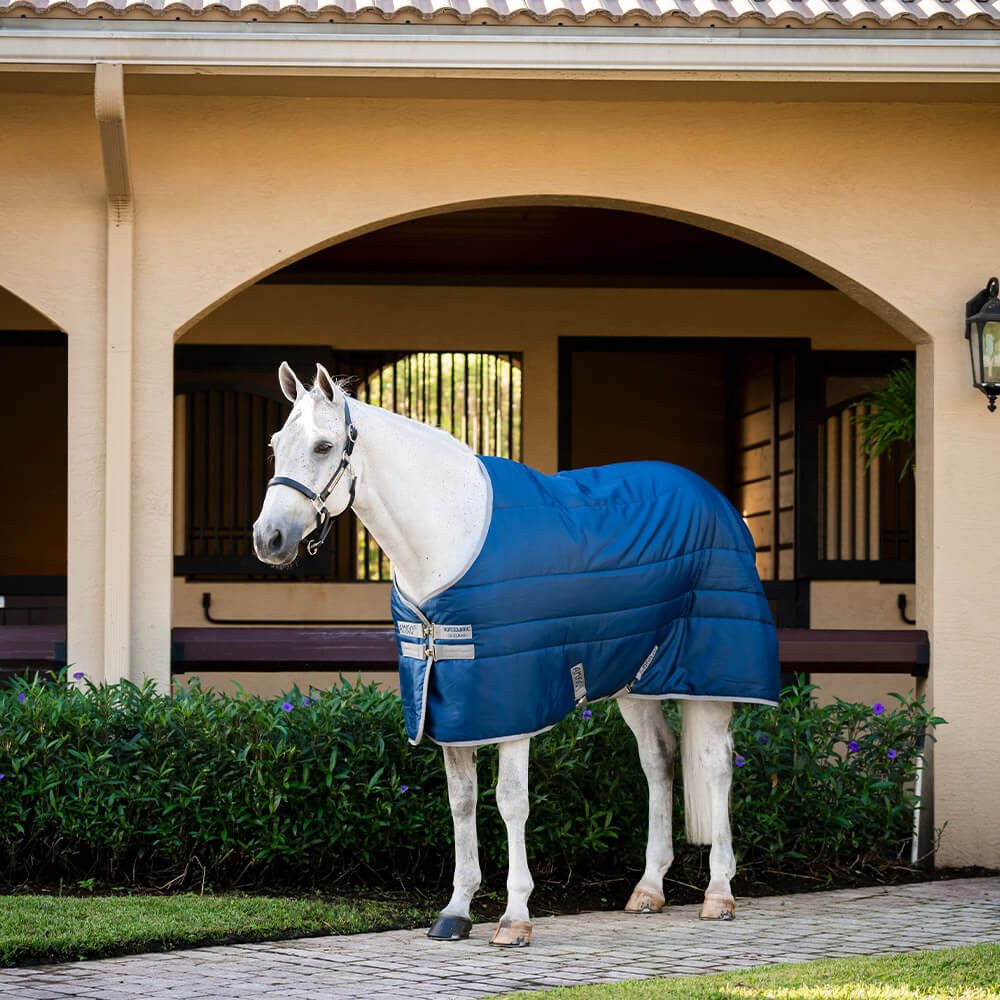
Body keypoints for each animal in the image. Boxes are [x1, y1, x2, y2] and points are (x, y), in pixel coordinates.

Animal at [253, 362, 779, 948]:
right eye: (276, 445)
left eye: (323, 446)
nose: (268, 538)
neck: (449, 535)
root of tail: (716, 499)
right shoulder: (450, 701)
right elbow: (461, 800)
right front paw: (455, 912)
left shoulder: (513, 703)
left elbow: (510, 800)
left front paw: (515, 917)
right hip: (637, 678)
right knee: (658, 759)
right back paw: (648, 889)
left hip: (710, 676)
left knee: (716, 765)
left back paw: (719, 893)